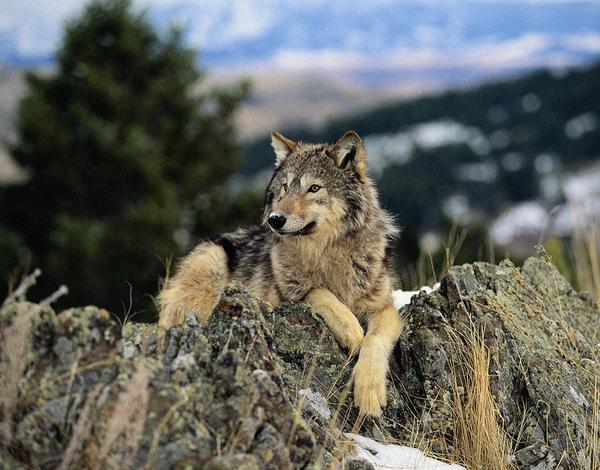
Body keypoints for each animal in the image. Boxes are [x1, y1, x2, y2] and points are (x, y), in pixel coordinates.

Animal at [159, 130, 404, 416]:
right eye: (286, 187)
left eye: (314, 188)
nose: (275, 219)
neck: (325, 255)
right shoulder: (285, 297)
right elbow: (318, 292)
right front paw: (351, 329)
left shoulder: (384, 308)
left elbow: (374, 342)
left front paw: (369, 392)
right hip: (212, 263)